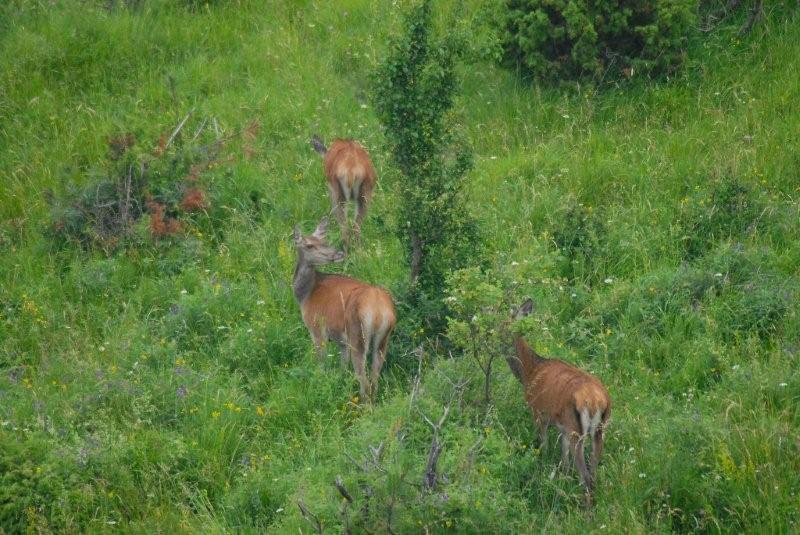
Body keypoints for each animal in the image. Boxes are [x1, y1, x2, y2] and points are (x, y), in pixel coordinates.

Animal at [292, 218, 396, 402]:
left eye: (324, 241)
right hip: (384, 337)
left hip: (358, 334)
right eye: (309, 245)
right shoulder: (341, 340)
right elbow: (342, 368)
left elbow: (322, 364)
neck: (305, 295)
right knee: (374, 378)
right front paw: (339, 384)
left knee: (365, 382)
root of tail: (379, 312)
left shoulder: (316, 329)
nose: (338, 253)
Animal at [506, 300, 612, 500]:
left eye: (501, 325)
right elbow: (564, 459)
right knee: (593, 471)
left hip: (577, 431)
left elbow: (544, 446)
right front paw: (563, 478)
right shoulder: (562, 427)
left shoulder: (538, 412)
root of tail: (596, 401)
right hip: (599, 429)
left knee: (586, 477)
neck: (529, 372)